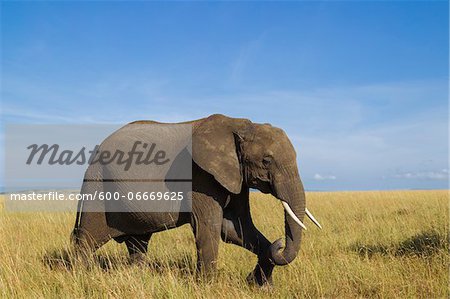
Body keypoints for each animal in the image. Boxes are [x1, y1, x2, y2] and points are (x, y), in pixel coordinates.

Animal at [71, 114, 320, 286]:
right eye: (267, 161)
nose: (280, 242)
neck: (239, 124)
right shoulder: (199, 176)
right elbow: (209, 227)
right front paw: (207, 286)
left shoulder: (236, 178)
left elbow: (236, 229)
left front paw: (261, 285)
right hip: (98, 185)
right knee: (87, 239)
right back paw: (80, 275)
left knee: (138, 244)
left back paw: (137, 275)